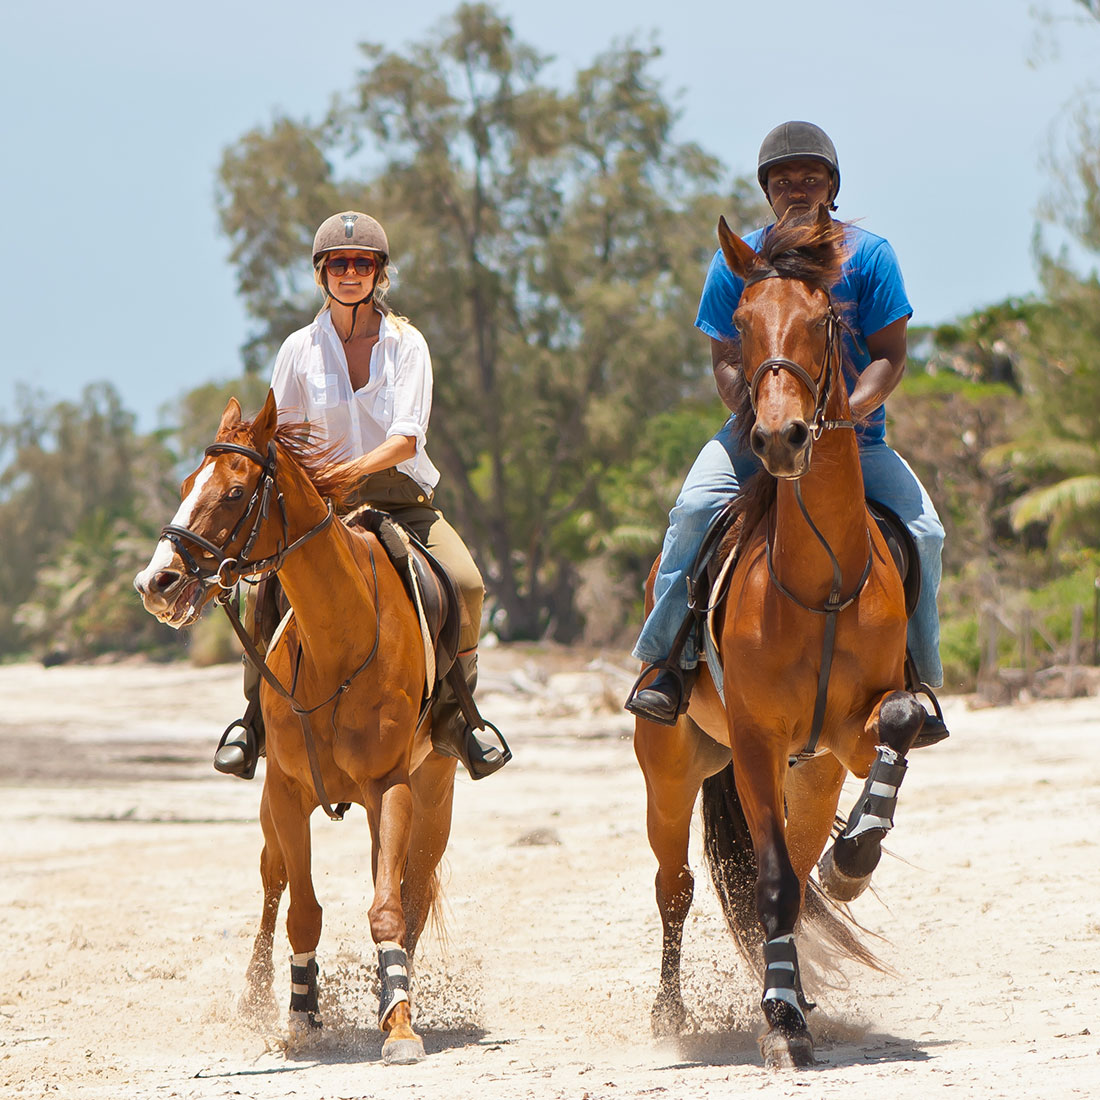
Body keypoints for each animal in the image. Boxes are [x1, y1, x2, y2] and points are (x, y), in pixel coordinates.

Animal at [134, 391, 457, 1064]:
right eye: (185, 484)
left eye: (234, 492)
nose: (156, 583)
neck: (338, 644)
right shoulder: (286, 793)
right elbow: (300, 910)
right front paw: (301, 1013)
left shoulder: (392, 788)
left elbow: (389, 907)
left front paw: (400, 1022)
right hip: (272, 808)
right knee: (271, 880)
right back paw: (255, 995)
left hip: (431, 800)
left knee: (411, 891)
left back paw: (393, 994)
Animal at [633, 206, 926, 1068]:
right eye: (739, 323)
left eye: (824, 321)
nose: (779, 438)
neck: (821, 579)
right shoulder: (759, 742)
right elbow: (768, 885)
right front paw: (782, 1027)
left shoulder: (851, 733)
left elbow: (899, 725)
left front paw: (854, 859)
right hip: (671, 770)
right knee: (677, 887)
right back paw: (674, 1014)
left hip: (813, 771)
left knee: (793, 867)